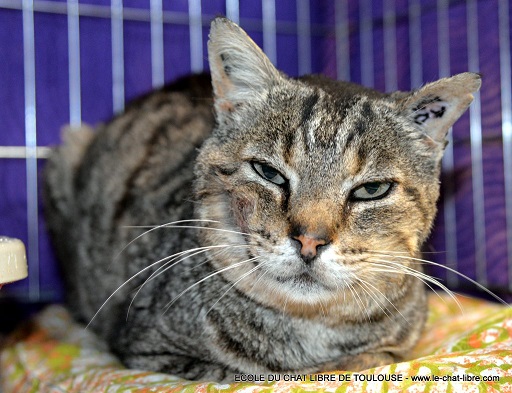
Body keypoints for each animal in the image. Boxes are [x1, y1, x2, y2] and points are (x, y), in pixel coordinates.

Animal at [44, 17, 480, 380]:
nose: (309, 241)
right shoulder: (150, 350)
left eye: (371, 190)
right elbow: (247, 372)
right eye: (268, 173)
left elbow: (371, 357)